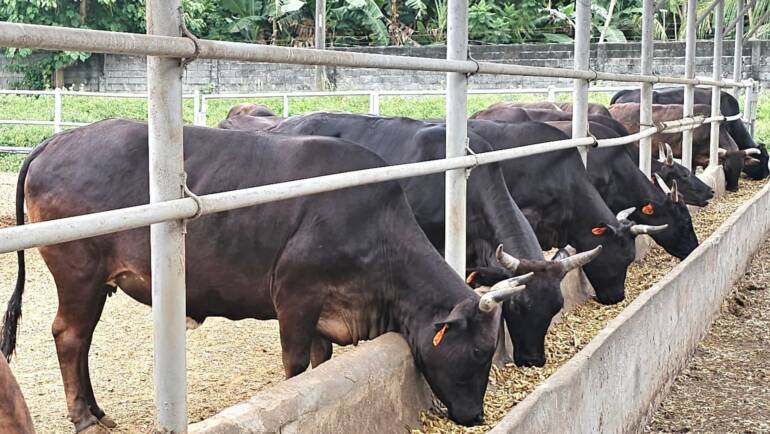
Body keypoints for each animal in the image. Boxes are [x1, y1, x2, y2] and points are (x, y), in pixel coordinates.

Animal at [0, 119, 532, 431]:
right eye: (479, 351)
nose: (475, 416)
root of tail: (58, 139)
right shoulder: (295, 299)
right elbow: (296, 367)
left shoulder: (323, 317)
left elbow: (320, 361)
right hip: (78, 271)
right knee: (69, 335)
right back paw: (84, 417)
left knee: (81, 338)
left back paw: (96, 410)